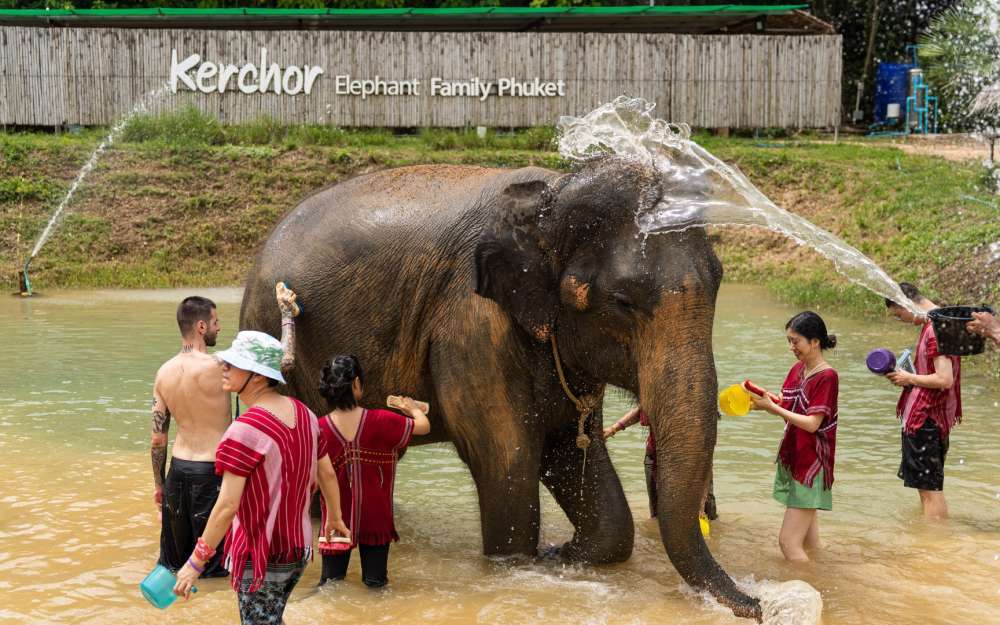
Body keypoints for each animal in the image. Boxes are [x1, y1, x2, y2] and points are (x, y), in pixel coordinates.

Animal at [238, 157, 760, 620]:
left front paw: (561, 558)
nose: (757, 605)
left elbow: (579, 463)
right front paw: (528, 565)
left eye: (718, 283)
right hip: (275, 335)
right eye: (623, 302)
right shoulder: (471, 324)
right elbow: (509, 465)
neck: (552, 200)